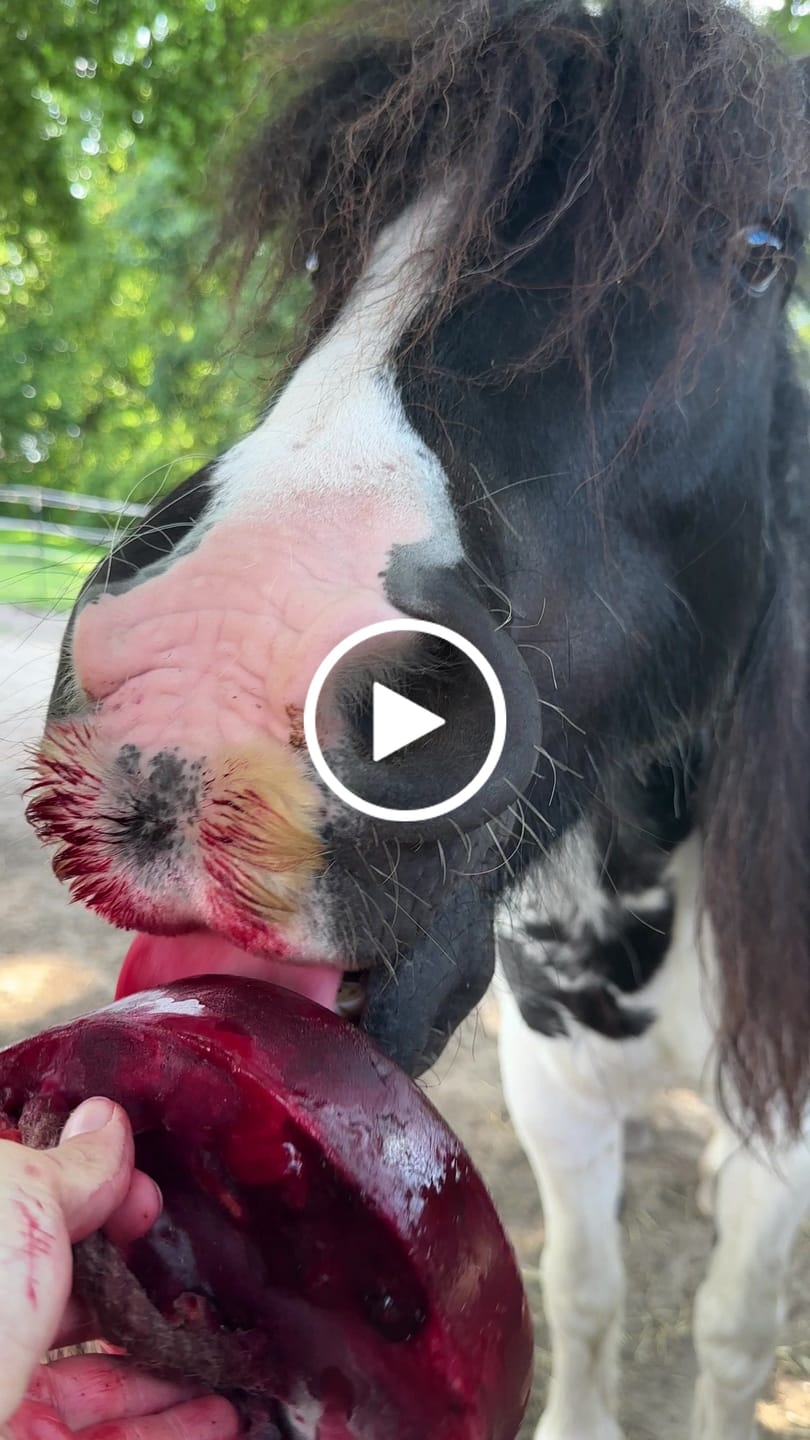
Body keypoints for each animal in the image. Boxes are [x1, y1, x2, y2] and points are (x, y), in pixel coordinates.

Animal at [27, 0, 809, 1435]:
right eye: (327, 243)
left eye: (757, 250)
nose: (205, 665)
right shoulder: (554, 1075)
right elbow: (588, 1293)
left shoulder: (782, 1122)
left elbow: (729, 1335)